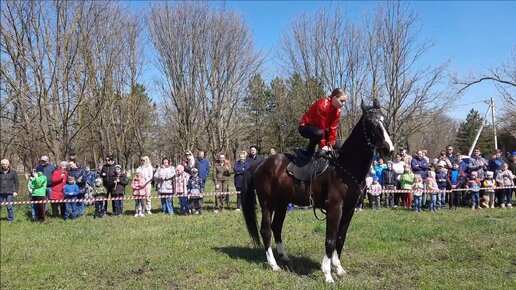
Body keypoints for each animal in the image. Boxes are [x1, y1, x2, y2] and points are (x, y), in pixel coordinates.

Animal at [242, 100, 396, 284]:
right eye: (372, 124)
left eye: (385, 121)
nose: (389, 149)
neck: (345, 168)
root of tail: (260, 164)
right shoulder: (335, 209)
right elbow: (330, 240)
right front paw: (328, 274)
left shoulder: (349, 211)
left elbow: (340, 239)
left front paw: (338, 268)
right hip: (267, 204)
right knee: (265, 230)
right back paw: (273, 265)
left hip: (282, 203)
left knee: (276, 227)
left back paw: (284, 257)